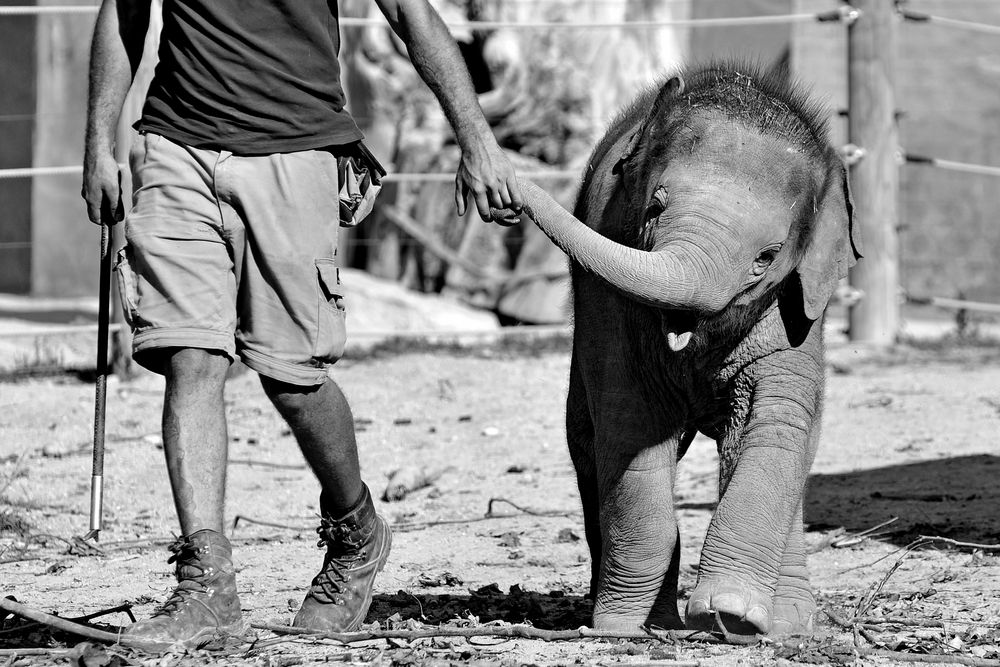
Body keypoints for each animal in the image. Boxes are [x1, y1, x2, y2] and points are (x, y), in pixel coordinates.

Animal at [500, 64, 860, 640]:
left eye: (767, 257)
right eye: (654, 207)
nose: (506, 189)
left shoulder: (799, 307)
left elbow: (773, 421)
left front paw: (730, 612)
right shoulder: (606, 287)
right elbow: (632, 422)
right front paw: (628, 627)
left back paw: (790, 623)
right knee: (588, 442)